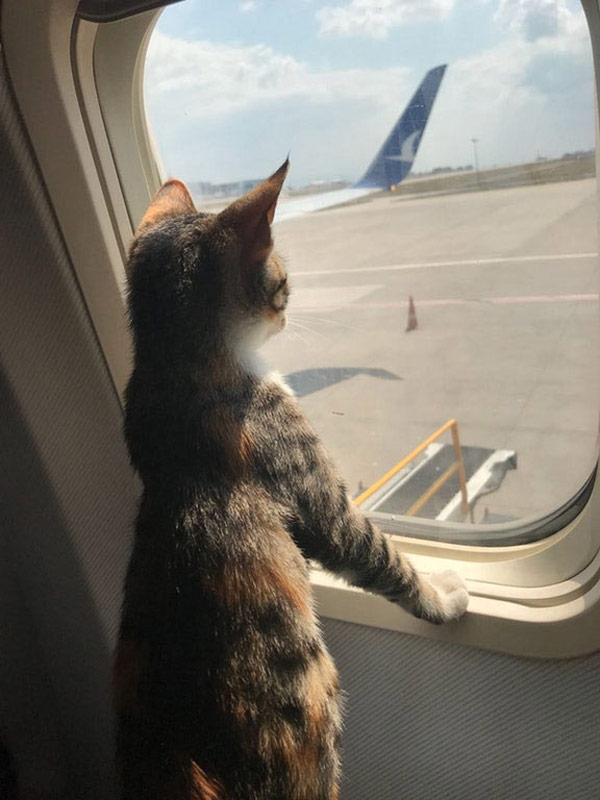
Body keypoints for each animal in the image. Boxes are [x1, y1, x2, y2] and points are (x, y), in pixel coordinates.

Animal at [115, 161, 466, 800]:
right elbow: (379, 556)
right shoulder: (312, 487)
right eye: (280, 274)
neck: (173, 373)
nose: (288, 300)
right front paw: (444, 595)